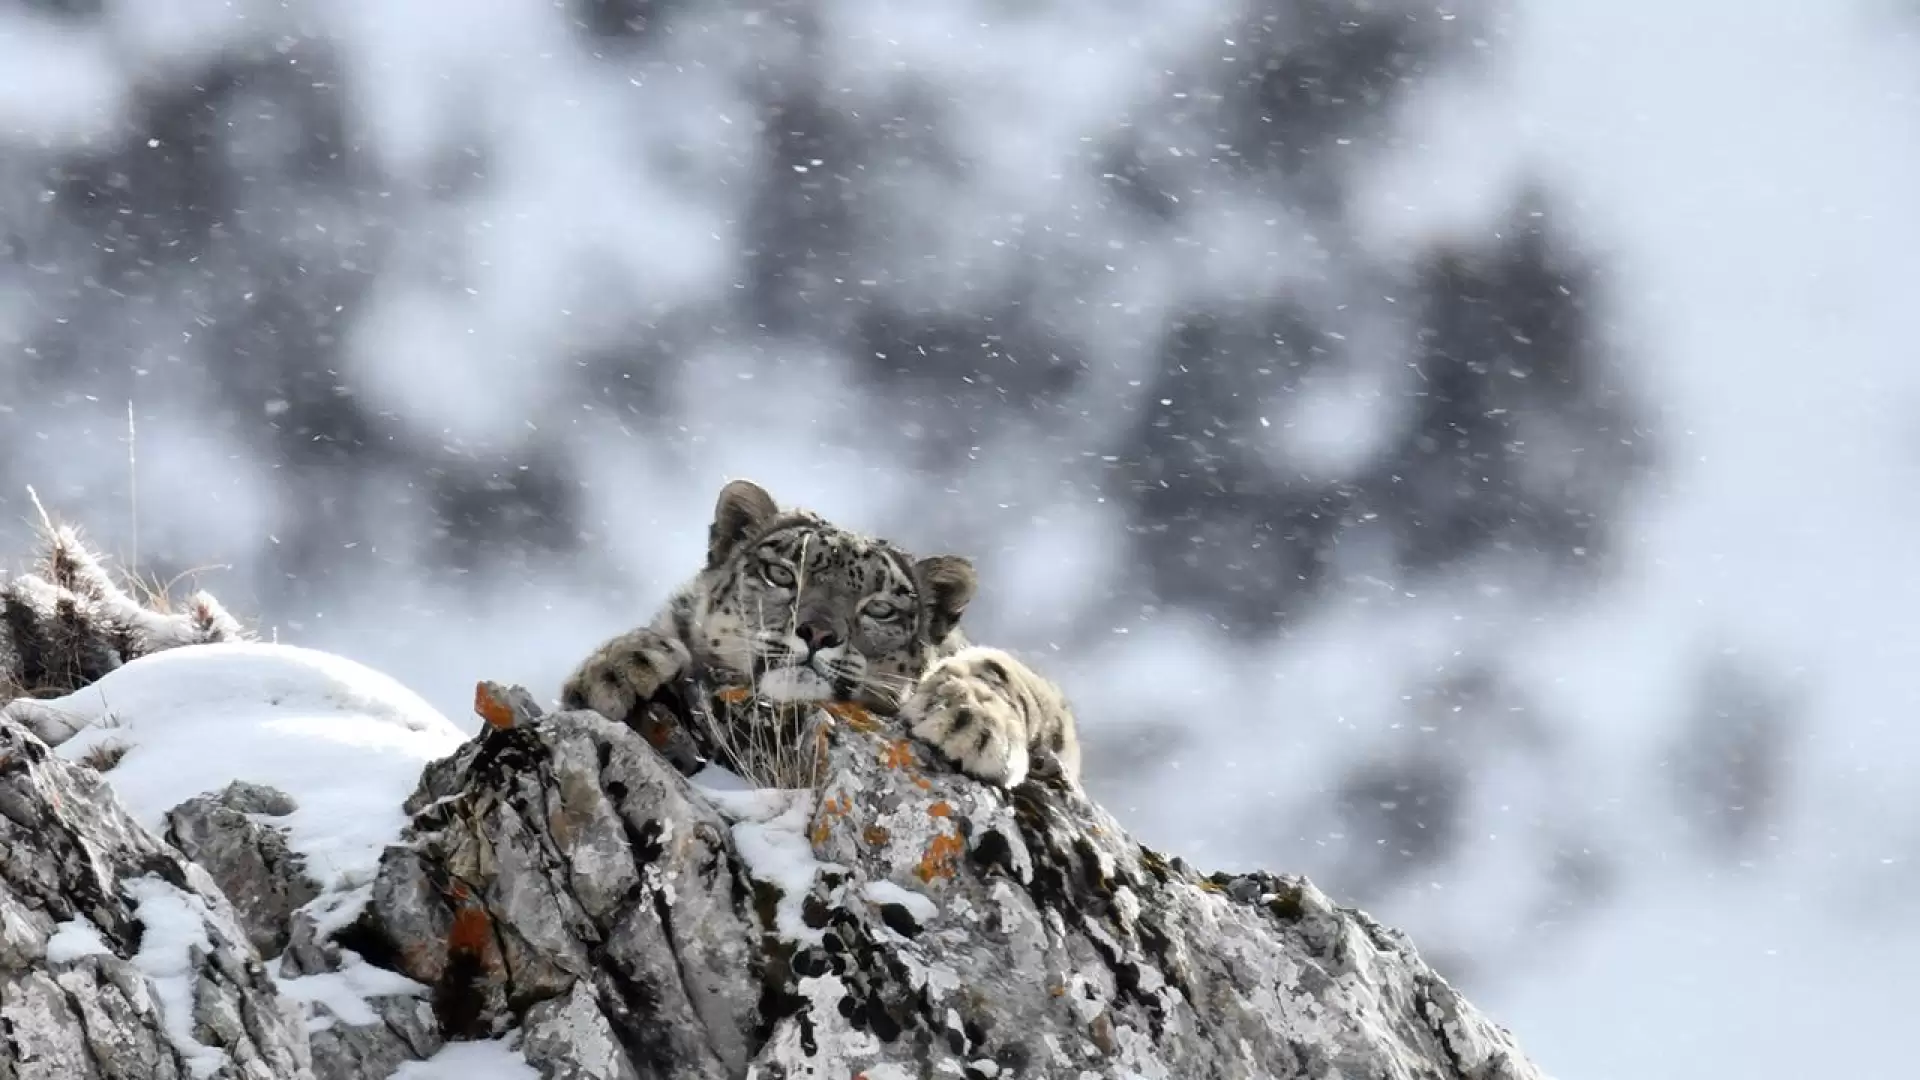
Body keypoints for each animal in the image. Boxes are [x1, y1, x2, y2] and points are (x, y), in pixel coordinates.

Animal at [559, 478, 1081, 790]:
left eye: (881, 608)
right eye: (780, 573)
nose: (816, 631)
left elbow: (1004, 670)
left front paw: (971, 721)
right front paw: (616, 667)